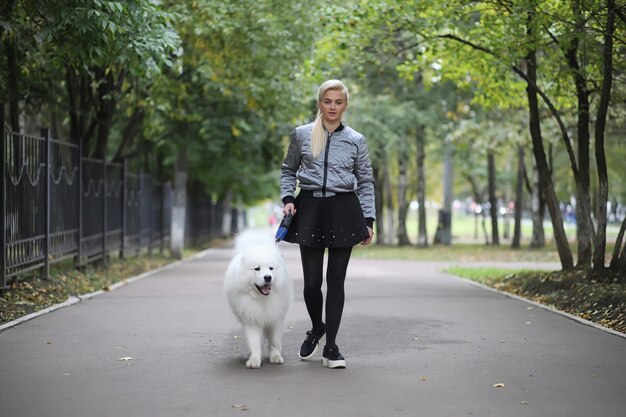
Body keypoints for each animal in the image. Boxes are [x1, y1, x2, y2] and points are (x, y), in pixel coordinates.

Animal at [223, 229, 292, 368]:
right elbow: (254, 342)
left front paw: (276, 357)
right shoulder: (251, 318)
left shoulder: (276, 318)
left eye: (271, 268)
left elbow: (274, 340)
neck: (262, 299)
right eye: (257, 269)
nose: (268, 277)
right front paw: (254, 360)